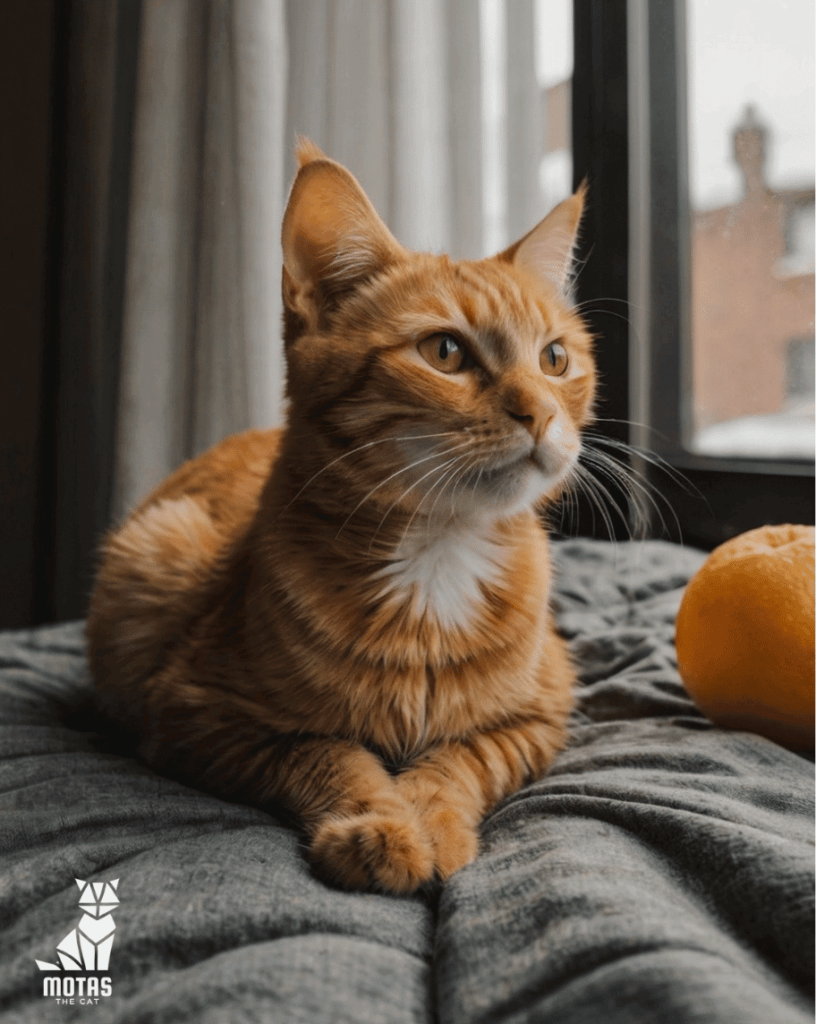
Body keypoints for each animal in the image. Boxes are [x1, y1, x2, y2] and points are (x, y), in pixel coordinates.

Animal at [87, 140, 593, 892]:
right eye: (445, 352)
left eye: (555, 359)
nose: (541, 414)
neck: (437, 555)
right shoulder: (194, 716)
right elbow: (328, 751)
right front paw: (380, 824)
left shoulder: (539, 717)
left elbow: (463, 758)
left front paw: (432, 816)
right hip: (153, 551)